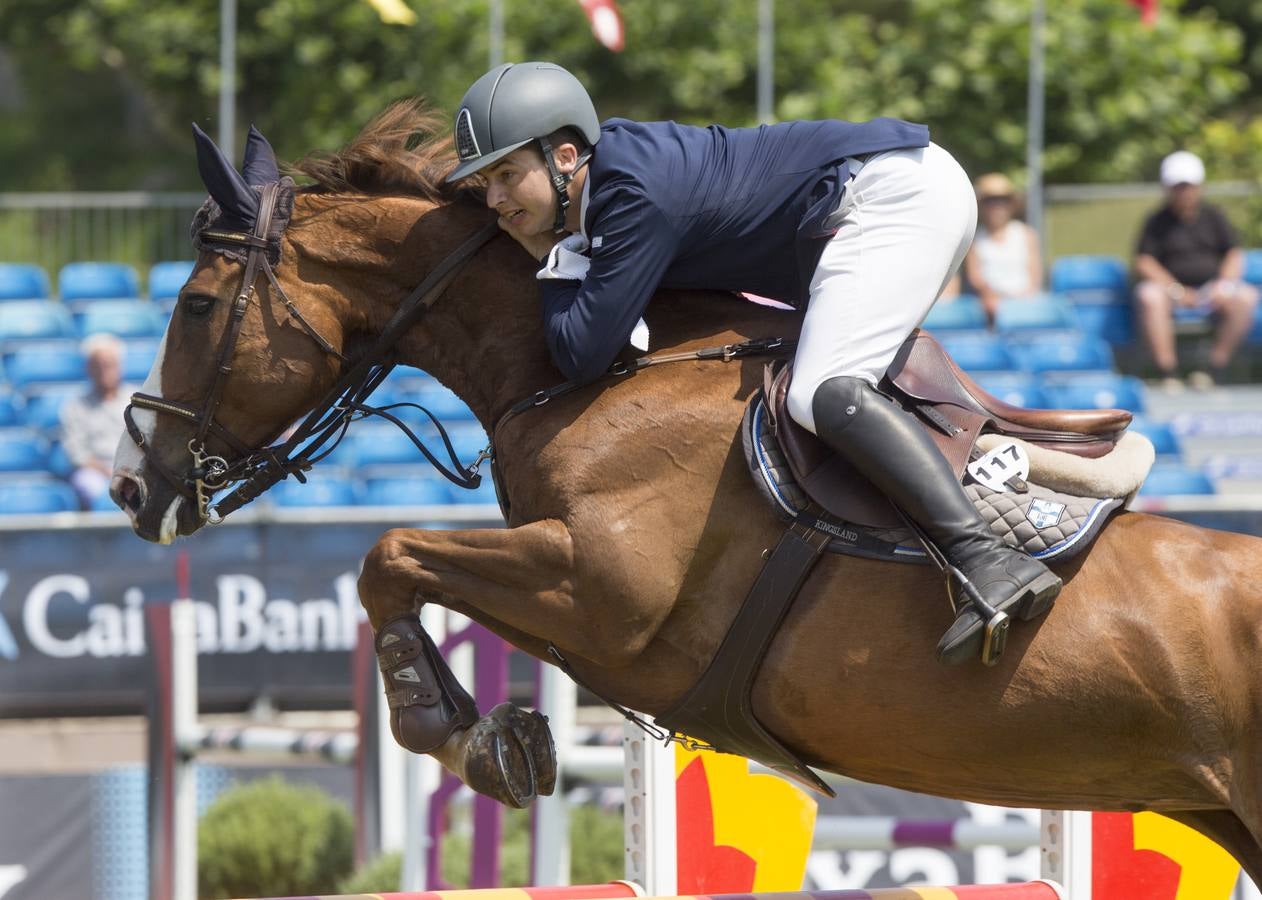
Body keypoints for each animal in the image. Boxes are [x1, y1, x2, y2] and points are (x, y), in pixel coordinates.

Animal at [111, 101, 1262, 883]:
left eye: (200, 304)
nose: (132, 487)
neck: (596, 371)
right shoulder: (582, 603)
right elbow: (397, 565)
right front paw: (496, 736)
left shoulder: (601, 592)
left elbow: (386, 557)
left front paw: (464, 734)